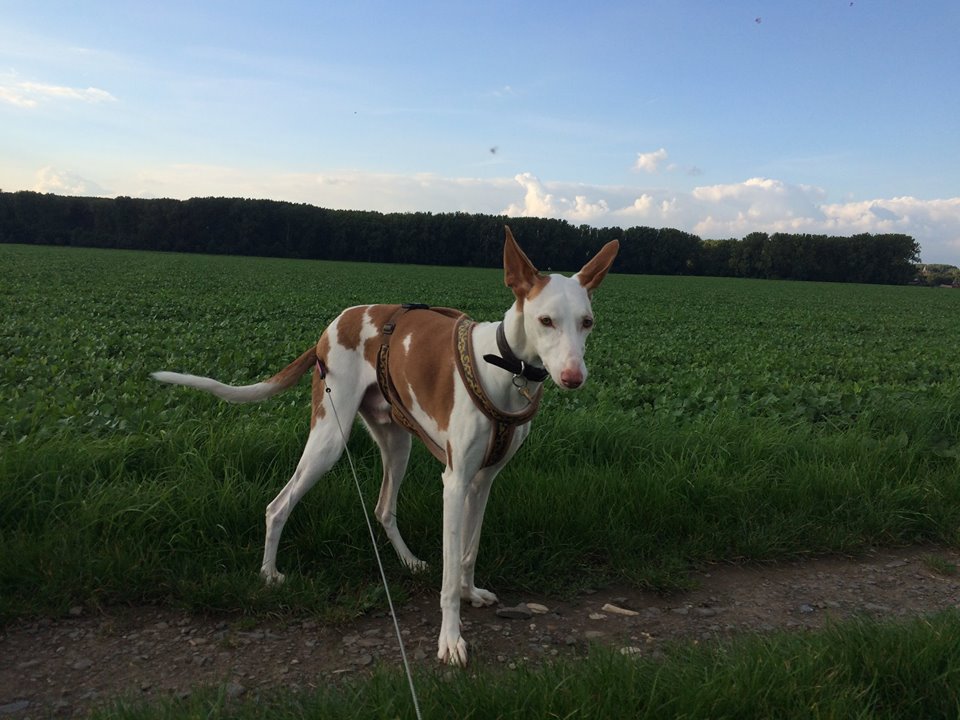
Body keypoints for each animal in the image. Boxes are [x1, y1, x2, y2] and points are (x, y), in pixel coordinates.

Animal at [152, 226, 618, 665]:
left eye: (587, 322)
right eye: (546, 321)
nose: (574, 378)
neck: (502, 367)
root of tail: (332, 325)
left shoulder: (482, 480)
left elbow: (467, 552)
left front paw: (470, 592)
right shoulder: (454, 481)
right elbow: (450, 571)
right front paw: (450, 639)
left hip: (397, 443)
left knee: (382, 508)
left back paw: (409, 561)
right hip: (329, 438)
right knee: (278, 505)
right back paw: (270, 574)